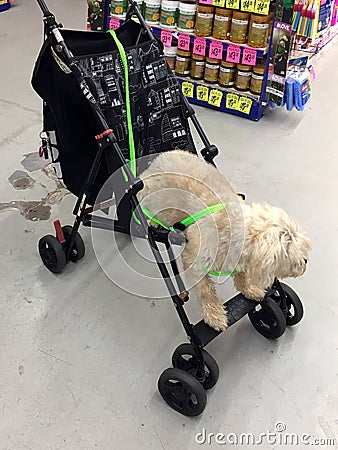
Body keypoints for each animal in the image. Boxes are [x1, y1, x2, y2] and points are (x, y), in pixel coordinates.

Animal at [137, 151, 312, 330]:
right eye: (290, 252)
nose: (305, 261)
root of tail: (158, 159)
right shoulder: (195, 262)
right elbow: (206, 292)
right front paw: (214, 315)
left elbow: (241, 276)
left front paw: (249, 290)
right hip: (148, 196)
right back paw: (152, 221)